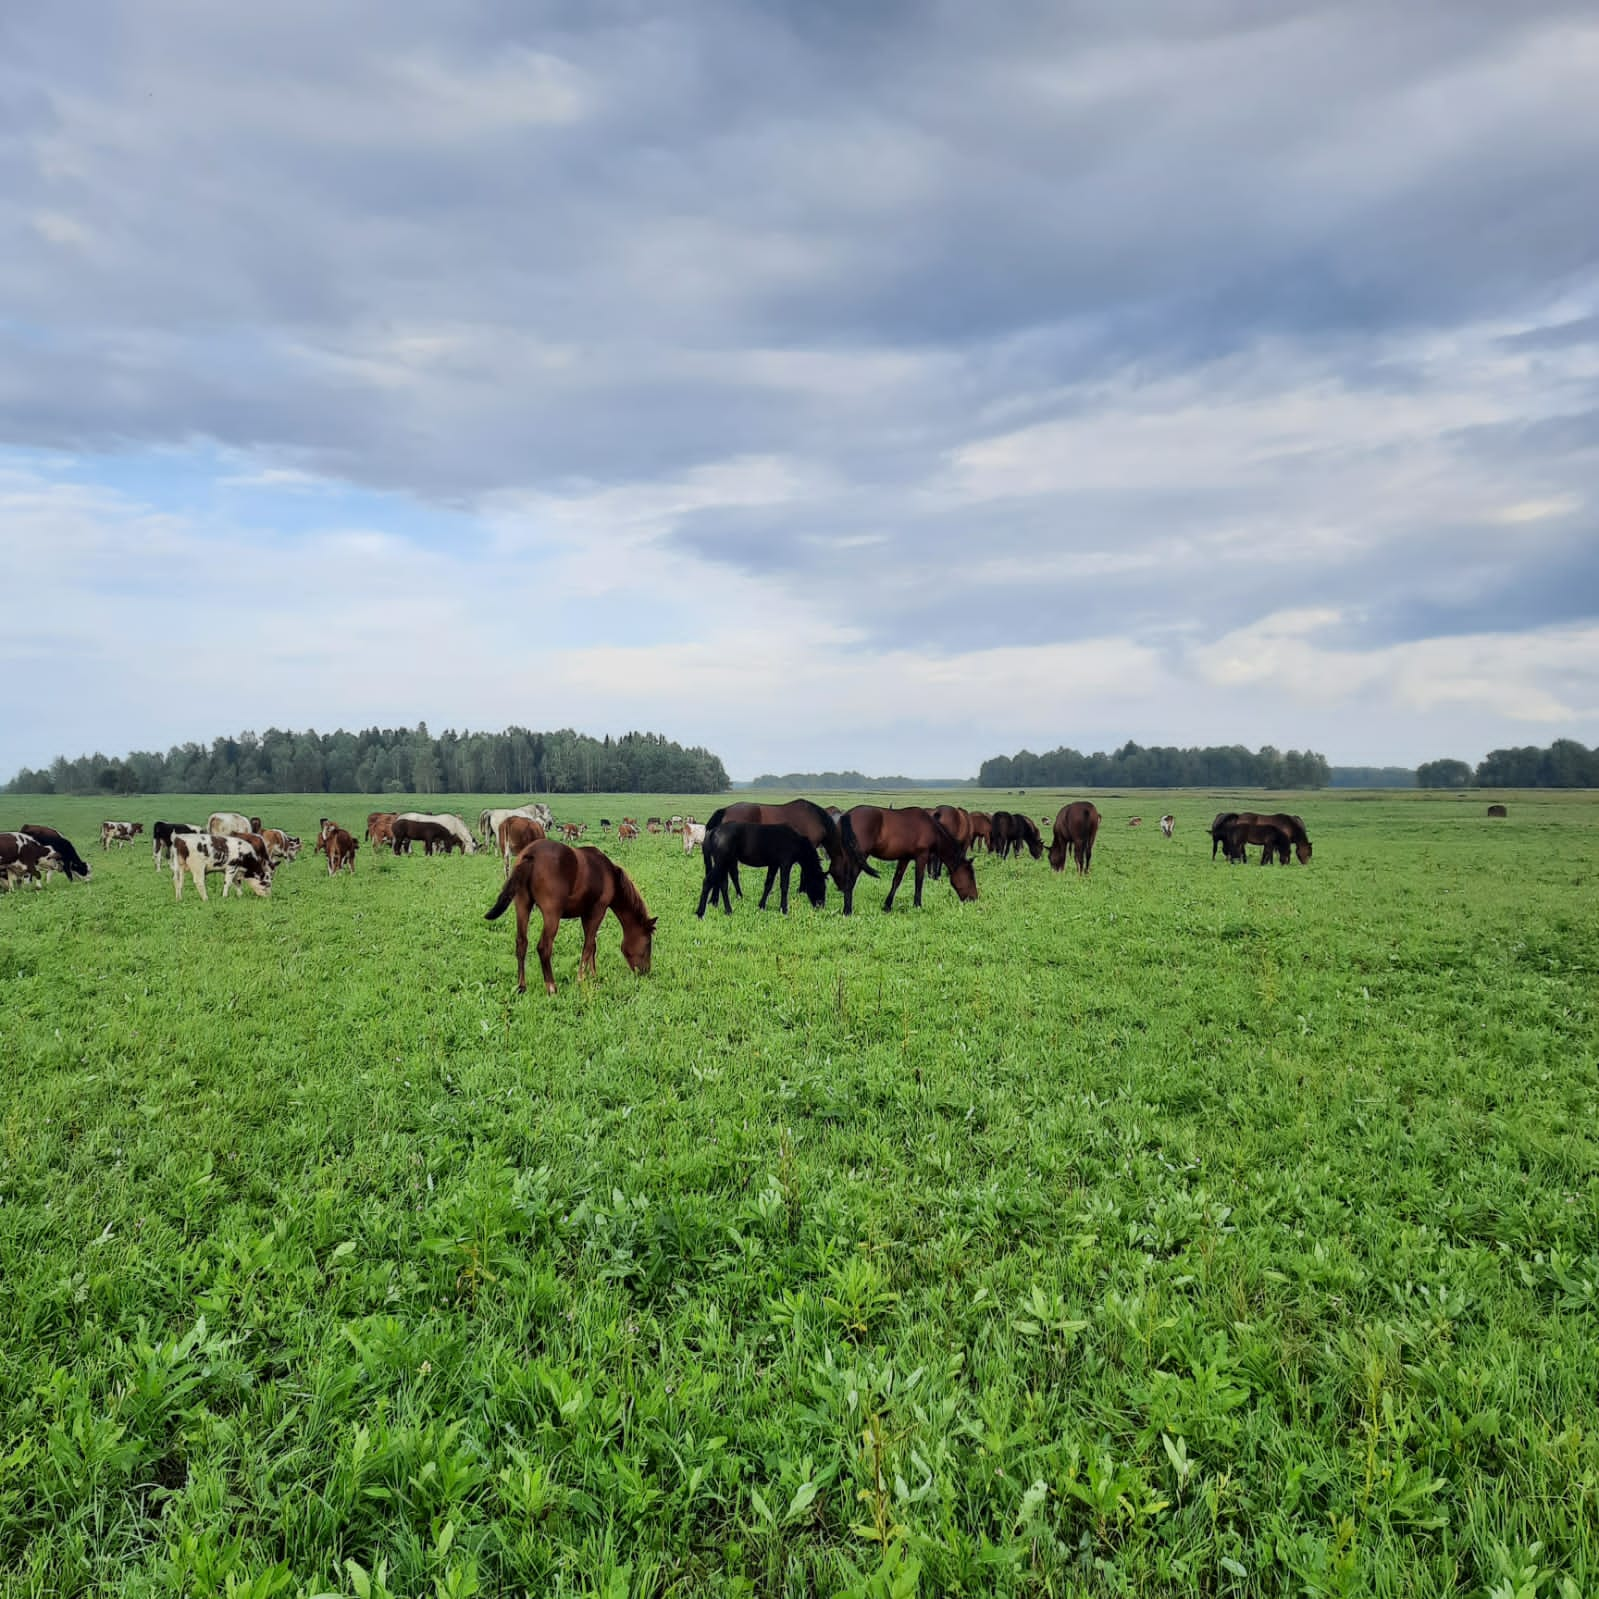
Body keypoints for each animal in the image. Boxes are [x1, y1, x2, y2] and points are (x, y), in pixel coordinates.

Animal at [479, 844, 655, 991]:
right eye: (647, 943)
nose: (645, 971)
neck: (610, 874)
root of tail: (530, 855)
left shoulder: (586, 914)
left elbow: (592, 945)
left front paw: (593, 975)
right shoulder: (598, 910)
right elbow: (588, 946)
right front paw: (581, 979)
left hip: (522, 905)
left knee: (521, 942)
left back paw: (522, 986)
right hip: (552, 914)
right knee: (544, 947)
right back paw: (551, 987)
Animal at [697, 818, 831, 921]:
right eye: (821, 886)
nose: (821, 905)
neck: (795, 841)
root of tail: (713, 831)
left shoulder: (773, 865)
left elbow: (768, 884)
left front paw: (761, 906)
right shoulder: (785, 864)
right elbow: (784, 886)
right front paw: (784, 909)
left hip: (725, 863)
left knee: (722, 884)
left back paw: (728, 910)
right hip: (722, 862)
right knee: (708, 882)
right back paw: (700, 913)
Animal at [837, 799, 972, 914]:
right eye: (970, 875)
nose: (973, 898)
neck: (931, 827)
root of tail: (847, 815)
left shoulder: (904, 858)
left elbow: (896, 880)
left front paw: (887, 906)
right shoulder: (921, 856)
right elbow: (919, 880)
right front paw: (917, 905)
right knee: (850, 880)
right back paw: (847, 911)